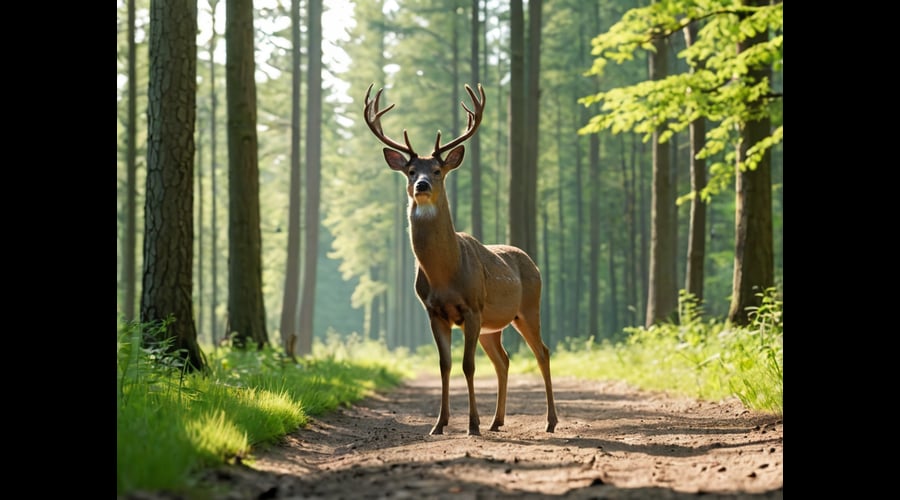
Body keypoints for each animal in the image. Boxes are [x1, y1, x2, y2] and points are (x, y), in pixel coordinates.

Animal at [363, 83, 558, 436]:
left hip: (527, 308)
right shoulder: (433, 312)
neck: (445, 274)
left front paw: (471, 424)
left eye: (437, 170)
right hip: (493, 326)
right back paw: (497, 421)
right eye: (410, 171)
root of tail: (532, 262)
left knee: (542, 352)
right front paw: (439, 424)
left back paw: (549, 421)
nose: (422, 185)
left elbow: (468, 366)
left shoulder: (471, 307)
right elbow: (445, 365)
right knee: (504, 360)